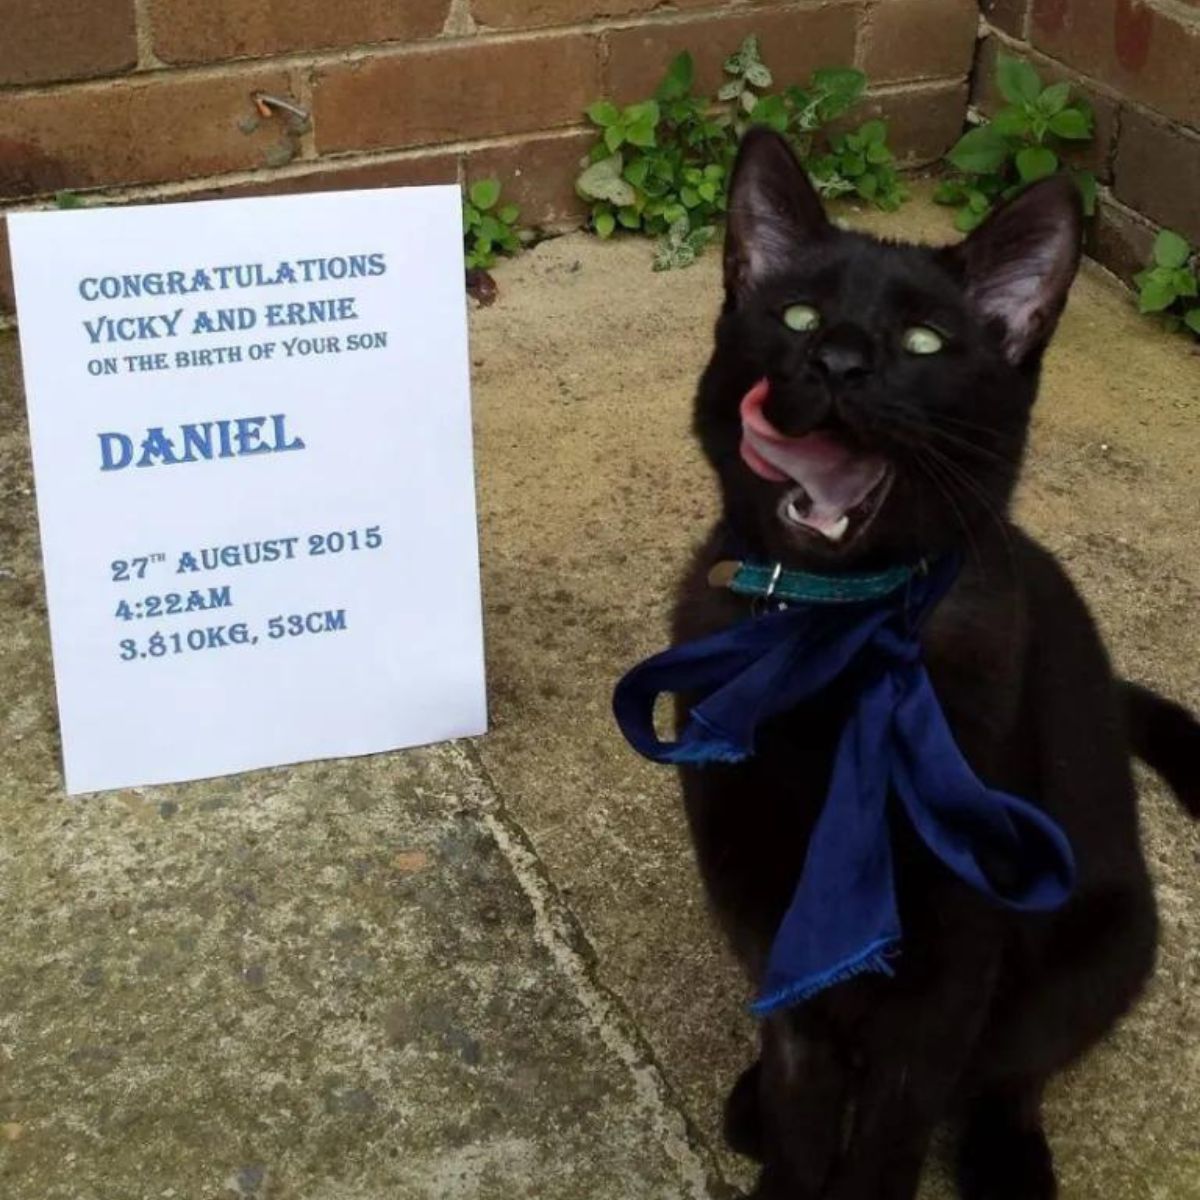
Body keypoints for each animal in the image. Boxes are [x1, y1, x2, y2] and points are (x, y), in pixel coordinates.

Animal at [672, 126, 1195, 1195]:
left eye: (924, 343)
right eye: (796, 315)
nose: (836, 360)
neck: (830, 638)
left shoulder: (952, 961)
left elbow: (892, 1133)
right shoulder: (769, 906)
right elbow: (802, 1096)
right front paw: (783, 1143)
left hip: (1105, 945)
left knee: (1015, 1066)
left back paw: (1008, 1157)